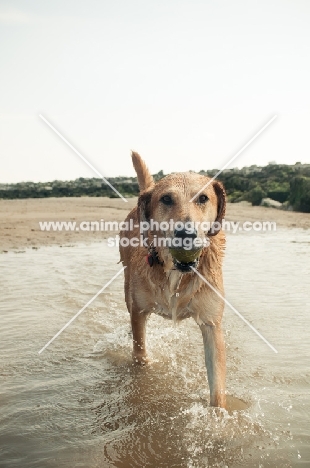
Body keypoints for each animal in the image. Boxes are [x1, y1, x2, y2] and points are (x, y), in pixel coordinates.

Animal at [118, 152, 225, 408]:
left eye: (203, 198)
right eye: (166, 199)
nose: (186, 233)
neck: (176, 273)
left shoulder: (211, 324)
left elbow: (217, 391)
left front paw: (219, 418)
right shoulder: (139, 311)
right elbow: (140, 355)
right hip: (127, 286)